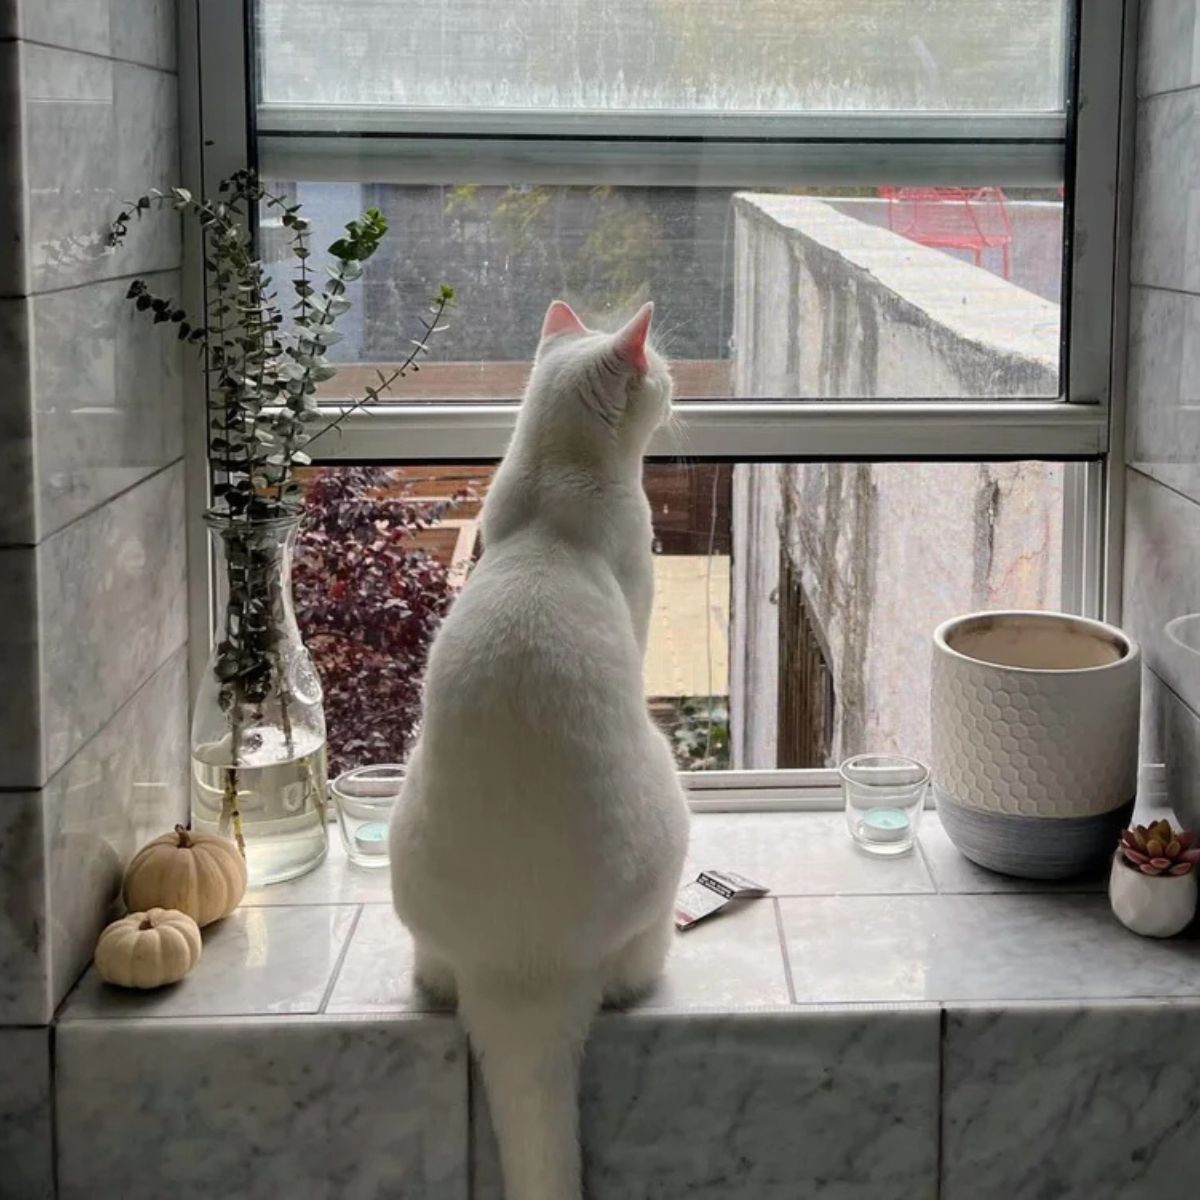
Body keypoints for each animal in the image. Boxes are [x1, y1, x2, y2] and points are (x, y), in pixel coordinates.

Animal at [388, 300, 691, 1200]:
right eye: (662, 371)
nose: (678, 387)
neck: (554, 498)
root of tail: (523, 975)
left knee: (435, 975)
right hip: (668, 805)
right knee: (633, 975)